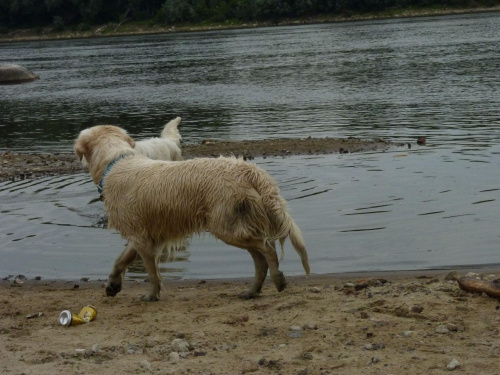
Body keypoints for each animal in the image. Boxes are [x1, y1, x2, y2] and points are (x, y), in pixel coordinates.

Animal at [74, 126, 308, 302]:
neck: (116, 163)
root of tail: (247, 170)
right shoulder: (142, 233)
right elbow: (120, 260)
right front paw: (113, 284)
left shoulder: (141, 237)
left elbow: (152, 272)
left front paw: (151, 295)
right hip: (238, 221)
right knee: (260, 256)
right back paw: (252, 291)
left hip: (226, 225)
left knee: (267, 249)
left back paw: (277, 279)